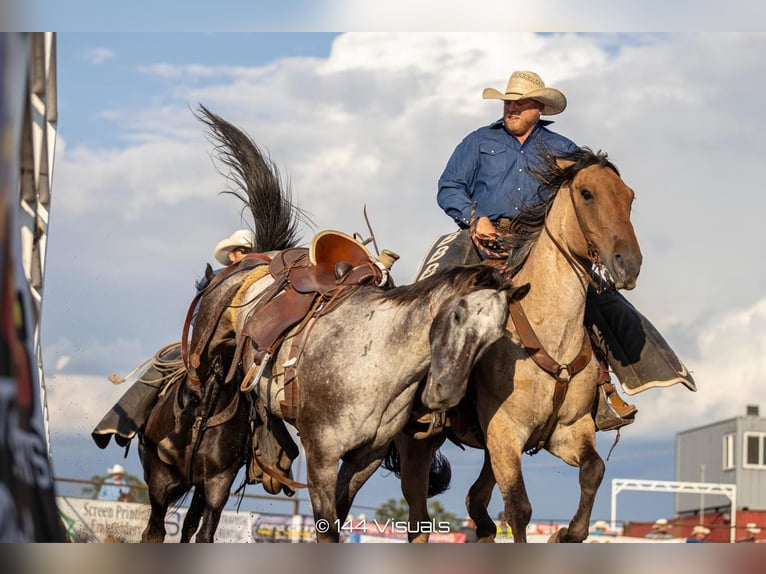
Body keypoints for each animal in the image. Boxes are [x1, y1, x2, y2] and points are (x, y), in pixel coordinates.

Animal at [188, 109, 532, 544]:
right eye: (456, 315)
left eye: (495, 336)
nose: (445, 392)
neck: (377, 364)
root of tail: (264, 257)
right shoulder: (322, 454)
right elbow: (326, 526)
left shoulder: (364, 458)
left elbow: (341, 512)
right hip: (204, 358)